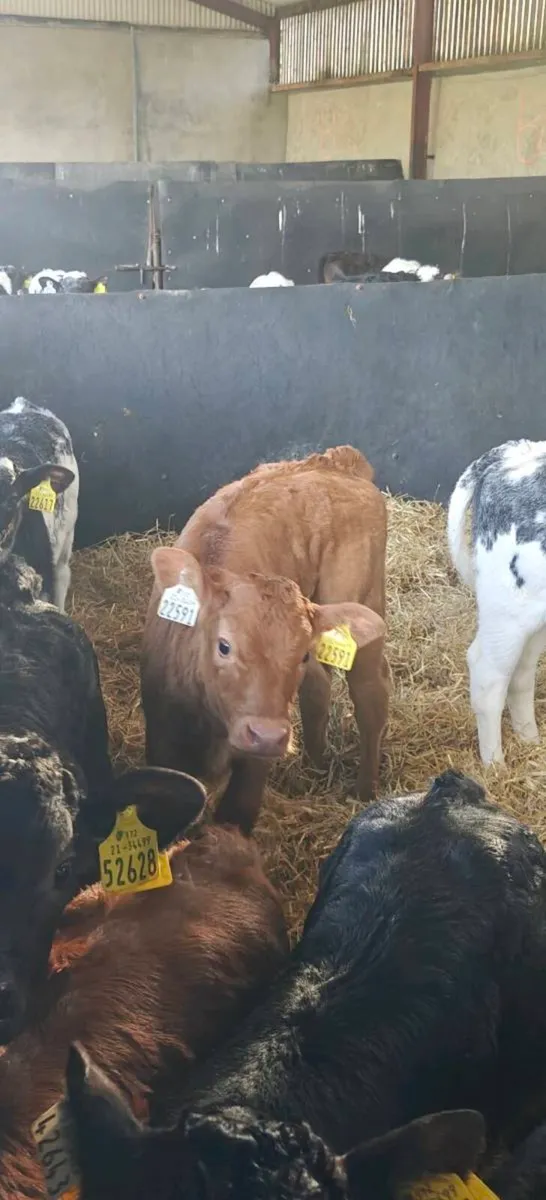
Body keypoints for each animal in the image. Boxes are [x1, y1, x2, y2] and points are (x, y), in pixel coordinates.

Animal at [141, 446, 388, 833]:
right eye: (224, 645)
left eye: (301, 655)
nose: (268, 735)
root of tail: (336, 462)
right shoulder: (163, 739)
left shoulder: (252, 769)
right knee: (319, 686)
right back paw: (314, 767)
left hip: (363, 594)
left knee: (370, 694)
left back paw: (364, 790)